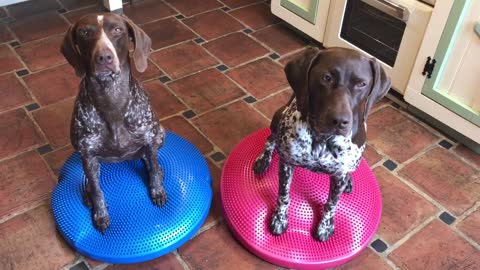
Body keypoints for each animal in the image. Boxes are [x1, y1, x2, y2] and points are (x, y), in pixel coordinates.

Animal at [60, 12, 166, 232]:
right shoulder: (87, 155)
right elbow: (97, 190)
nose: (104, 57)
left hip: (160, 134)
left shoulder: (150, 139)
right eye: (85, 32)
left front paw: (157, 189)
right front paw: (100, 213)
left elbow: (153, 168)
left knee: (149, 159)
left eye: (117, 30)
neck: (111, 97)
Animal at [251, 46, 390, 240]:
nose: (339, 121)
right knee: (270, 140)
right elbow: (283, 195)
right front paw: (279, 218)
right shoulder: (287, 164)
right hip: (278, 118)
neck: (323, 141)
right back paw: (263, 159)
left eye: (361, 84)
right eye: (326, 78)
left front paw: (325, 225)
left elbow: (331, 204)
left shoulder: (339, 176)